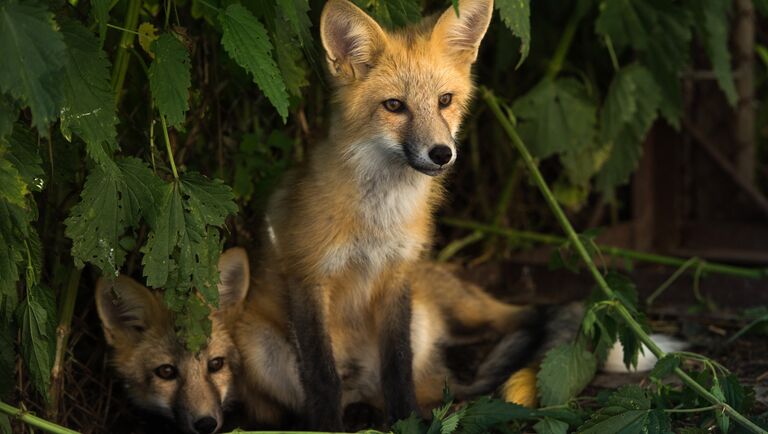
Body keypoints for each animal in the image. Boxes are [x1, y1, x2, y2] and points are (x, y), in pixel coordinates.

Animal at [258, 0, 496, 428]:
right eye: (394, 106)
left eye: (445, 100)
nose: (441, 153)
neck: (377, 223)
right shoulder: (308, 277)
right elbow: (321, 376)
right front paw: (326, 430)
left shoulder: (397, 275)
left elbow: (398, 368)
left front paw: (407, 421)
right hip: (259, 348)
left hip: (420, 318)